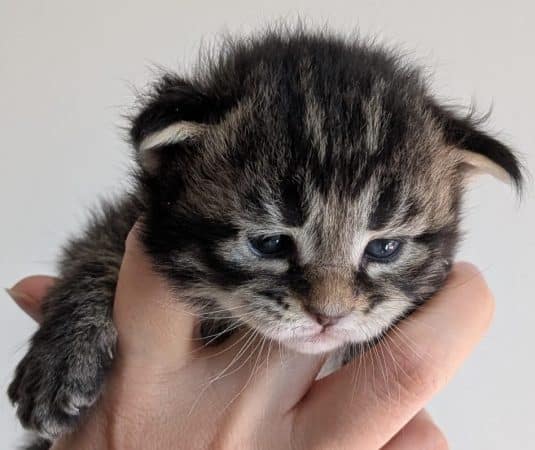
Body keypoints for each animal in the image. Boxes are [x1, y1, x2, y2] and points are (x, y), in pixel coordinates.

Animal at [8, 28, 524, 446]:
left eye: (384, 248)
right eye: (270, 244)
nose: (329, 317)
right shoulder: (128, 219)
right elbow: (93, 255)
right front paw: (61, 359)